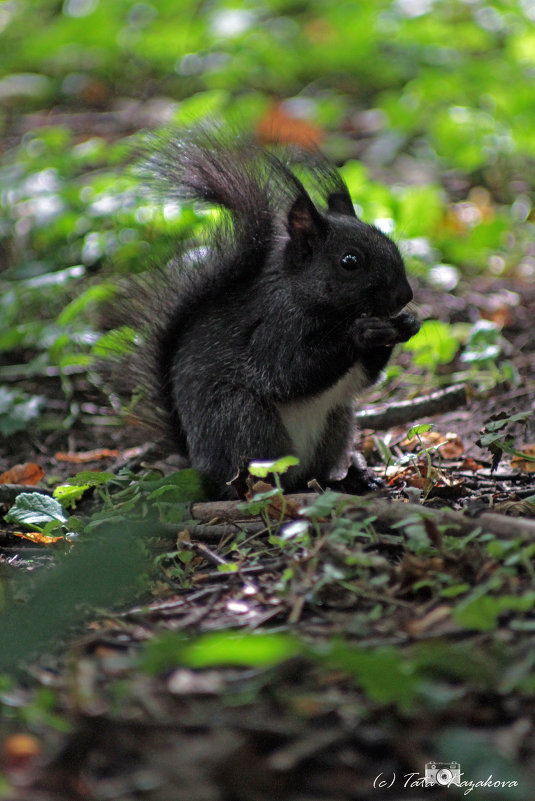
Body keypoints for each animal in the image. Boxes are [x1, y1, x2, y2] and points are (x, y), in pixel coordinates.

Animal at [127, 126, 420, 496]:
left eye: (391, 242)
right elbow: (289, 374)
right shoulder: (273, 329)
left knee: (318, 469)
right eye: (350, 261)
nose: (405, 295)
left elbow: (364, 377)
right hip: (244, 421)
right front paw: (362, 334)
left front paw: (407, 324)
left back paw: (350, 479)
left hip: (337, 422)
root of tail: (199, 464)